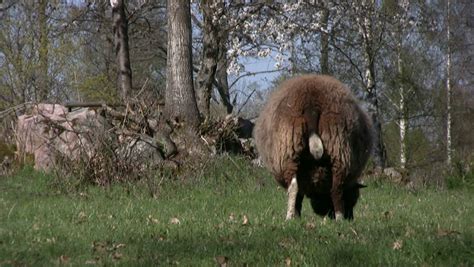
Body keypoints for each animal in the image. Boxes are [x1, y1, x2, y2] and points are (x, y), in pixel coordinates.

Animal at [254, 74, 372, 221]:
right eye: (352, 198)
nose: (350, 218)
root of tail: (312, 105)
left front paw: (297, 216)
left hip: (293, 152)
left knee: (299, 187)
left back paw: (292, 217)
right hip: (336, 149)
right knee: (333, 188)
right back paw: (337, 218)